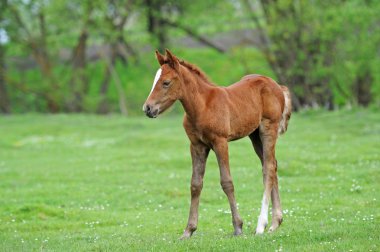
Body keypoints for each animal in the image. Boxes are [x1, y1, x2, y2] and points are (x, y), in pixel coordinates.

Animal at [142, 49, 290, 238]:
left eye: (166, 83)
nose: (147, 108)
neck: (202, 106)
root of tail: (277, 85)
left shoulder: (220, 143)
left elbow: (227, 182)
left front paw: (238, 227)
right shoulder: (197, 145)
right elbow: (195, 184)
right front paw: (188, 230)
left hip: (268, 129)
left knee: (268, 168)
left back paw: (261, 225)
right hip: (255, 135)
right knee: (272, 165)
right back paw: (275, 222)